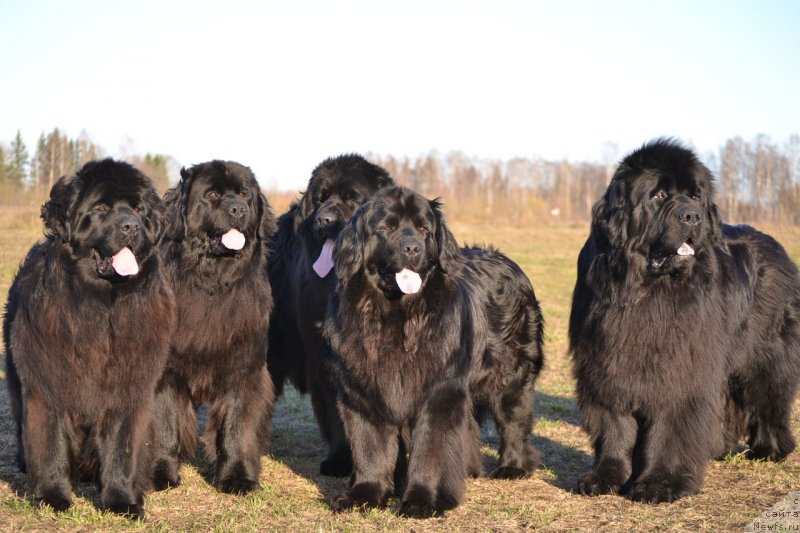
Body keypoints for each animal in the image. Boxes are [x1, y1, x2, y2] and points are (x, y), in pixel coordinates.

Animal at [4, 160, 173, 516]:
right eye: (101, 208)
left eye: (138, 209)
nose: (131, 226)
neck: (101, 308)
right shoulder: (49, 381)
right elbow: (51, 441)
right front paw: (53, 495)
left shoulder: (127, 386)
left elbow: (123, 448)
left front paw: (122, 500)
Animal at [320, 186, 544, 516]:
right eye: (387, 228)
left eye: (424, 229)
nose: (413, 248)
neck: (396, 317)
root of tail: (507, 261)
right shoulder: (363, 391)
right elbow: (369, 447)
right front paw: (365, 495)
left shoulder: (439, 391)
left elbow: (432, 448)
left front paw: (423, 500)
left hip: (512, 375)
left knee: (513, 419)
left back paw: (512, 467)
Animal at [568, 138, 800, 502]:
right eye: (659, 195)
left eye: (695, 196)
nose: (692, 216)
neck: (646, 291)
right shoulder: (607, 362)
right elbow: (614, 424)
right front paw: (605, 477)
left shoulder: (682, 366)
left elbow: (671, 426)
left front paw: (660, 483)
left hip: (765, 356)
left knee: (768, 395)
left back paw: (771, 448)